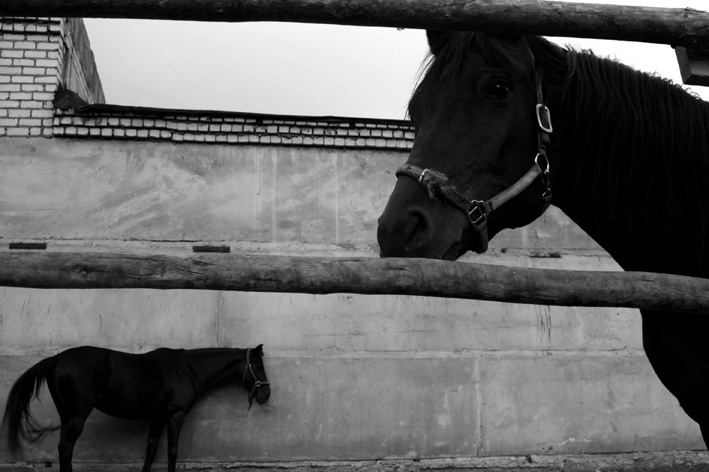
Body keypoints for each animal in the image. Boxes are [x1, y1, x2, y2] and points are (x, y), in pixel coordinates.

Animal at [2, 344, 270, 472]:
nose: (266, 394)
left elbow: (151, 450)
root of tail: (57, 358)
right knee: (66, 449)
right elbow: (172, 452)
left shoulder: (158, 416)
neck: (186, 369)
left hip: (66, 415)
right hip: (77, 416)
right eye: (257, 365)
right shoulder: (175, 415)